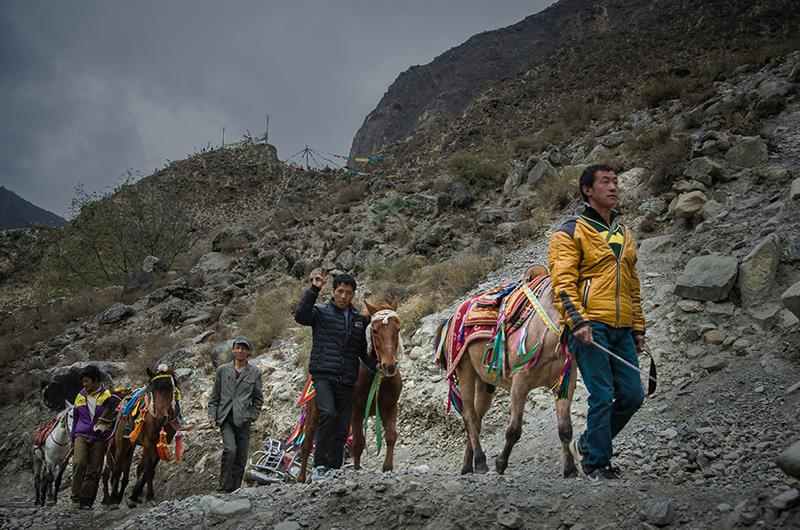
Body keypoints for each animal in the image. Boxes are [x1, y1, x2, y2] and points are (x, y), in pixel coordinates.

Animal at [101, 368, 178, 504]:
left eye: (170, 388)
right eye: (152, 389)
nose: (161, 418)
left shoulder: (160, 445)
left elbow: (148, 470)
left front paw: (135, 495)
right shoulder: (148, 444)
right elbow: (148, 469)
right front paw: (149, 496)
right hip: (121, 444)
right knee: (117, 470)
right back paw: (112, 499)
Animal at [296, 300, 404, 480]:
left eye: (397, 329)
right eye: (375, 330)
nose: (389, 366)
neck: (375, 376)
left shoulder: (389, 407)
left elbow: (390, 436)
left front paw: (387, 467)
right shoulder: (356, 411)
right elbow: (359, 442)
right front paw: (357, 469)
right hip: (315, 412)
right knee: (307, 443)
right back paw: (302, 477)